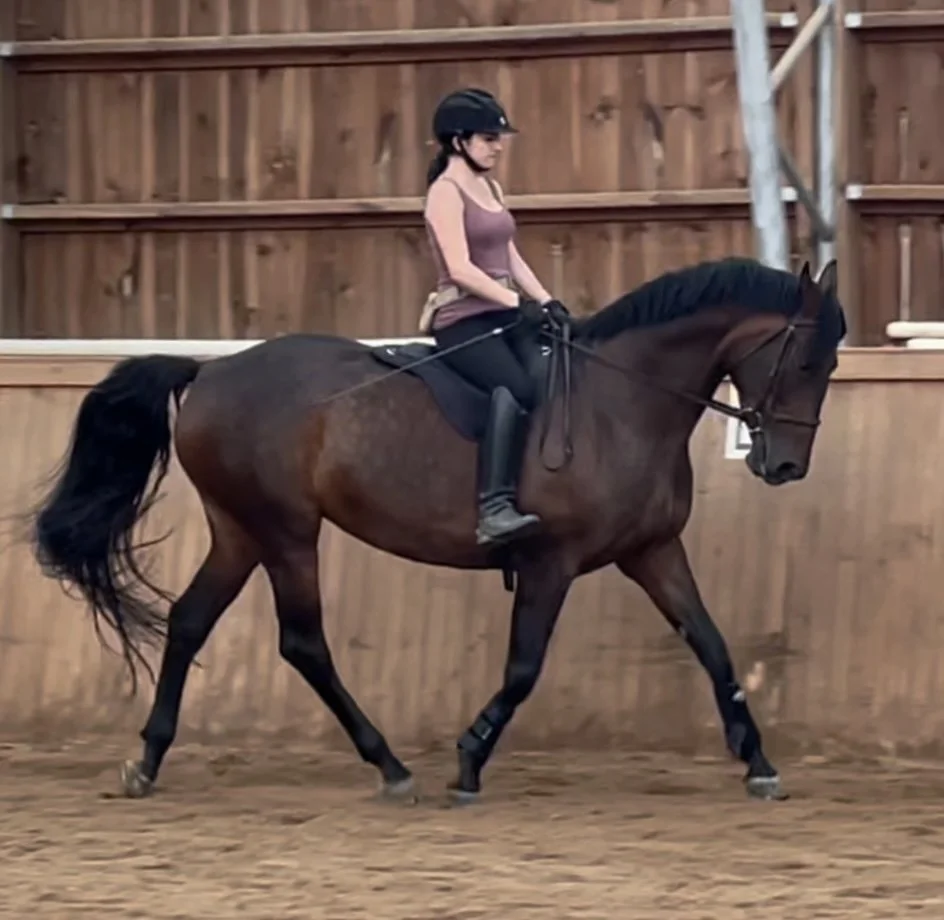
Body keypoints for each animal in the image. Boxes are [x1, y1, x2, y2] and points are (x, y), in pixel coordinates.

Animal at [28, 255, 846, 805]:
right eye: (805, 359)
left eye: (831, 362)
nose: (785, 465)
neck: (622, 403)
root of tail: (210, 372)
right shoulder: (551, 561)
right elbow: (523, 668)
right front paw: (470, 758)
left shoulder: (651, 551)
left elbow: (711, 644)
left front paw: (759, 763)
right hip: (285, 532)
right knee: (302, 642)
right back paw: (390, 768)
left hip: (240, 531)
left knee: (191, 620)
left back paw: (148, 762)